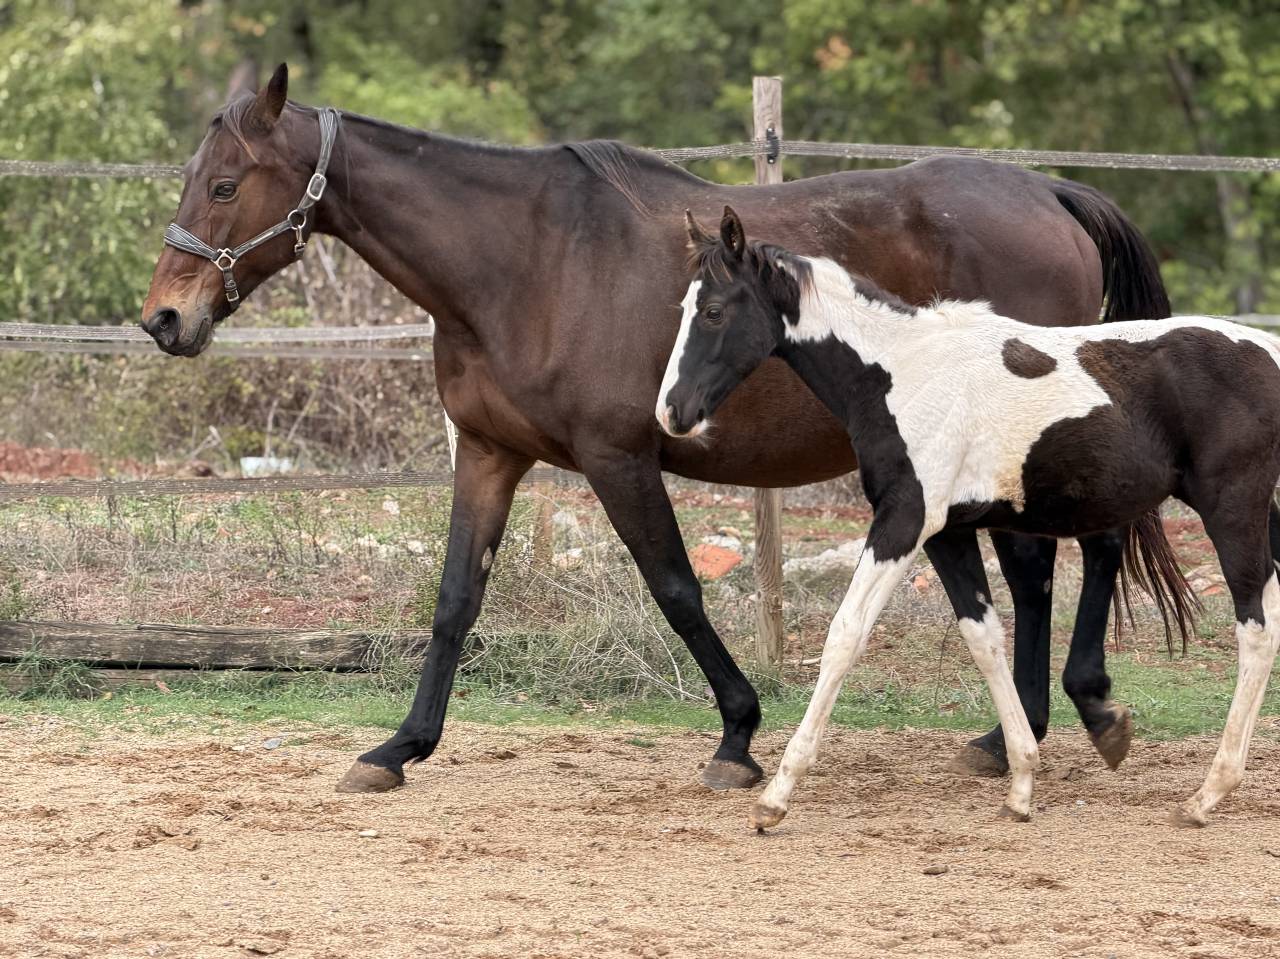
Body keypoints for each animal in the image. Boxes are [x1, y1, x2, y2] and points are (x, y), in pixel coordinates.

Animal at [141, 64, 1191, 796]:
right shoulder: (489, 455)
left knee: (1084, 550)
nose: (164, 318)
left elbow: (678, 589)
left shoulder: (619, 458)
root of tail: (1054, 194)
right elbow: (453, 602)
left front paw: (736, 736)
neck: (524, 259)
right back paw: (1019, 733)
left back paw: (1087, 708)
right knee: (1044, 566)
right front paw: (398, 746)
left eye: (226, 186)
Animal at [660, 205, 1277, 829]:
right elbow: (983, 637)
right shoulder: (948, 533)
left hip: (1234, 510)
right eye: (684, 307)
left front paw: (777, 796)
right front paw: (1022, 782)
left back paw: (1206, 795)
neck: (900, 372)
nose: (672, 412)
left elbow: (846, 634)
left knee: (1256, 625)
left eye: (714, 311)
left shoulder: (903, 521)